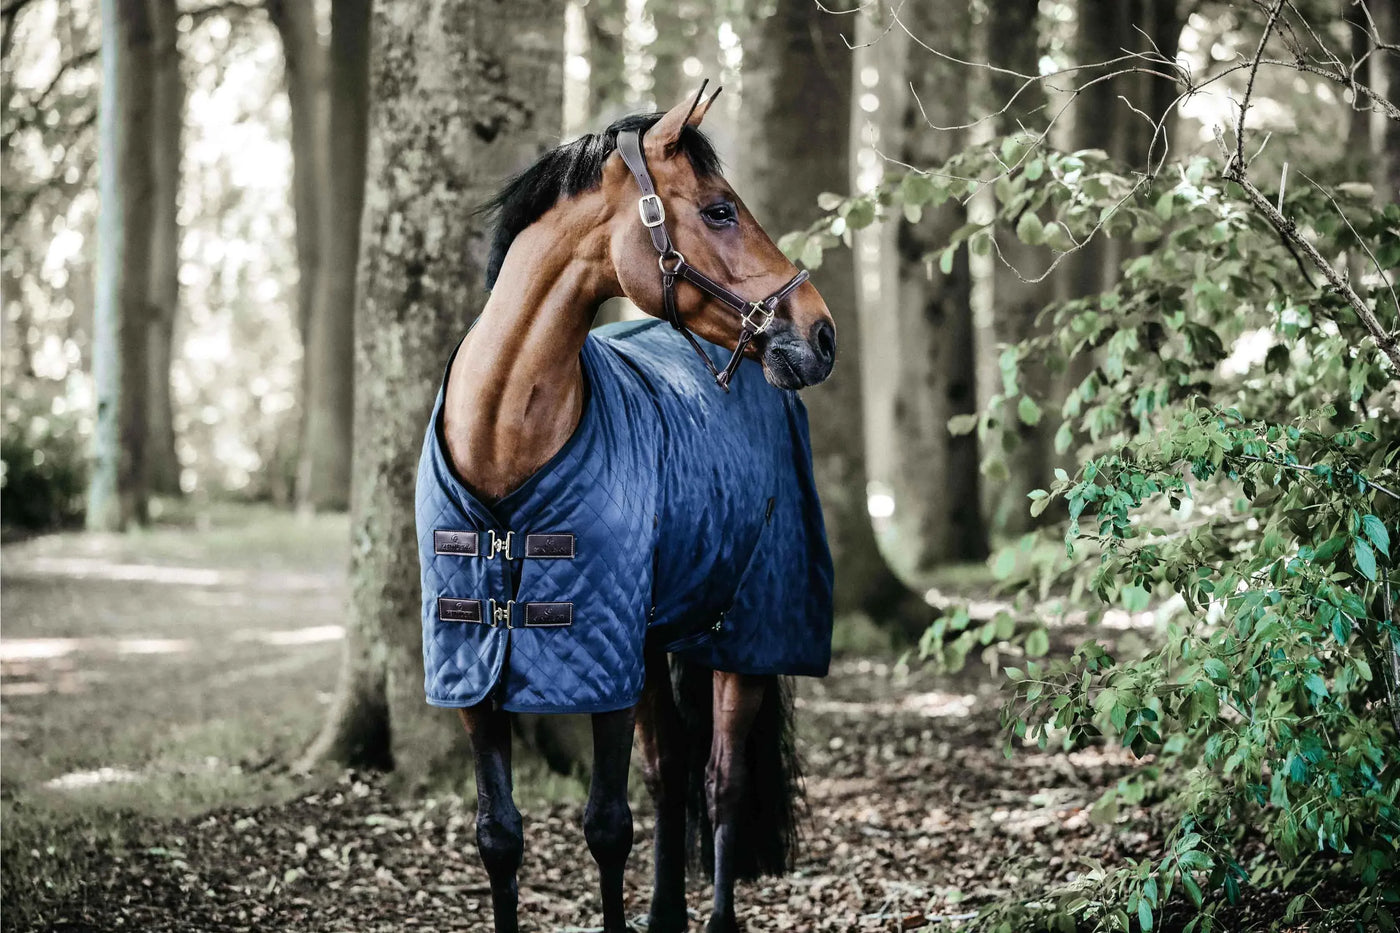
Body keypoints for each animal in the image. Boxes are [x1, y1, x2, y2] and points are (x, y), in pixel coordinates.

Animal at [414, 84, 837, 933]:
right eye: (718, 210)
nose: (819, 332)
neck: (503, 444)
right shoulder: (474, 666)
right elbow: (498, 834)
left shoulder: (599, 660)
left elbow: (608, 825)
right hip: (651, 637)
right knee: (671, 767)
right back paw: (666, 914)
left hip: (743, 635)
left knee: (721, 780)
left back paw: (716, 919)